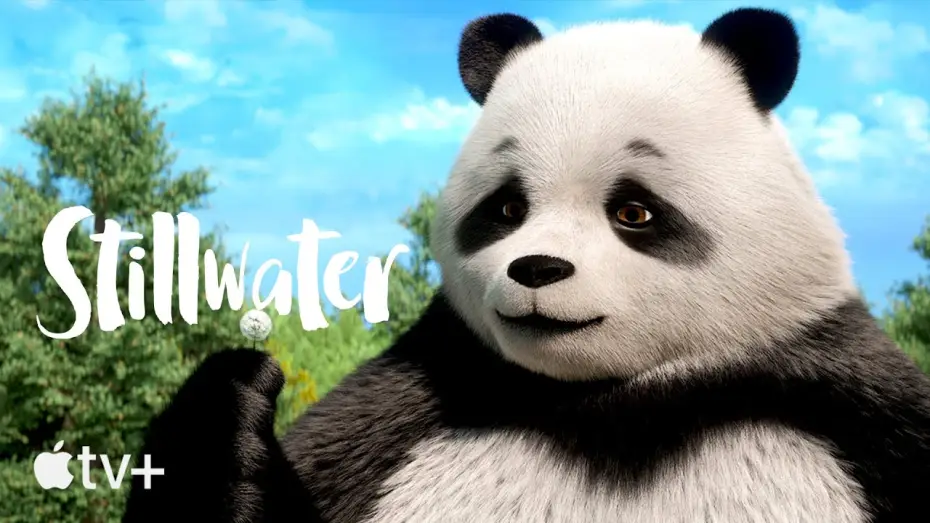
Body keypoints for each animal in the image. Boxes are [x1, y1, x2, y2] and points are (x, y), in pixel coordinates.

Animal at [123, 7, 930, 523]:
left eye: (633, 211)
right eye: (507, 208)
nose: (537, 270)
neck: (610, 402)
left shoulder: (843, 397)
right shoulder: (420, 395)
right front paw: (230, 409)